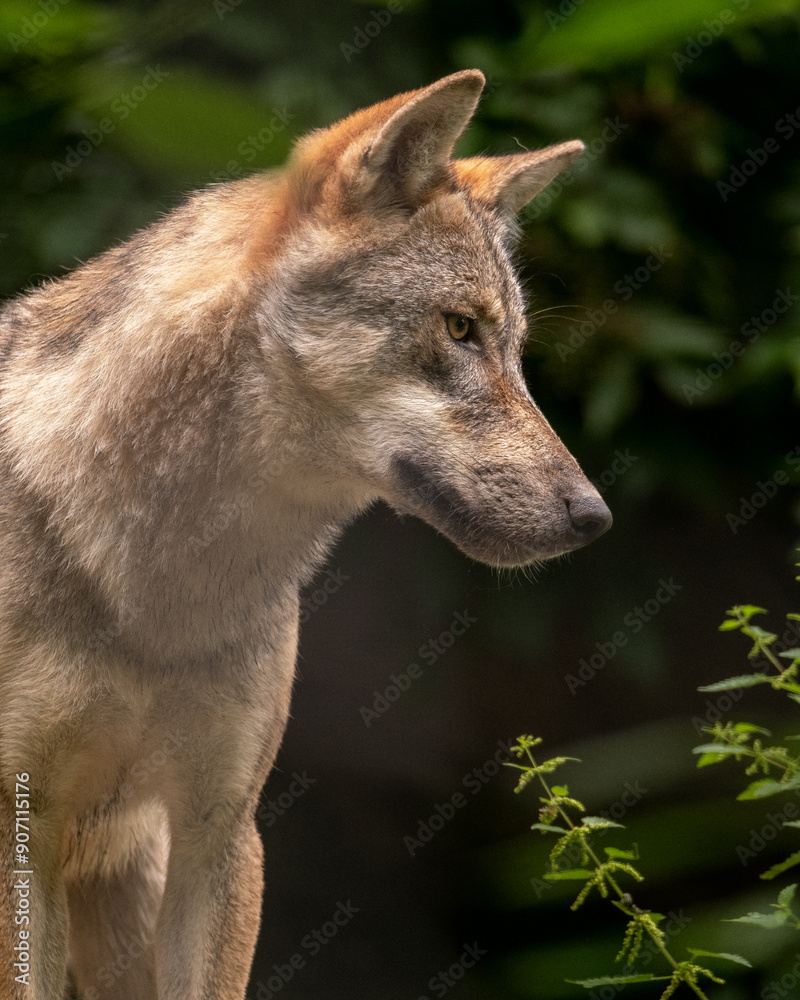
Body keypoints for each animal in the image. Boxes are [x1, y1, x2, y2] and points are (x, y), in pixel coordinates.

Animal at [0, 69, 610, 998]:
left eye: (512, 347)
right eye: (459, 328)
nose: (593, 515)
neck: (156, 592)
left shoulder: (221, 834)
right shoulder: (22, 832)